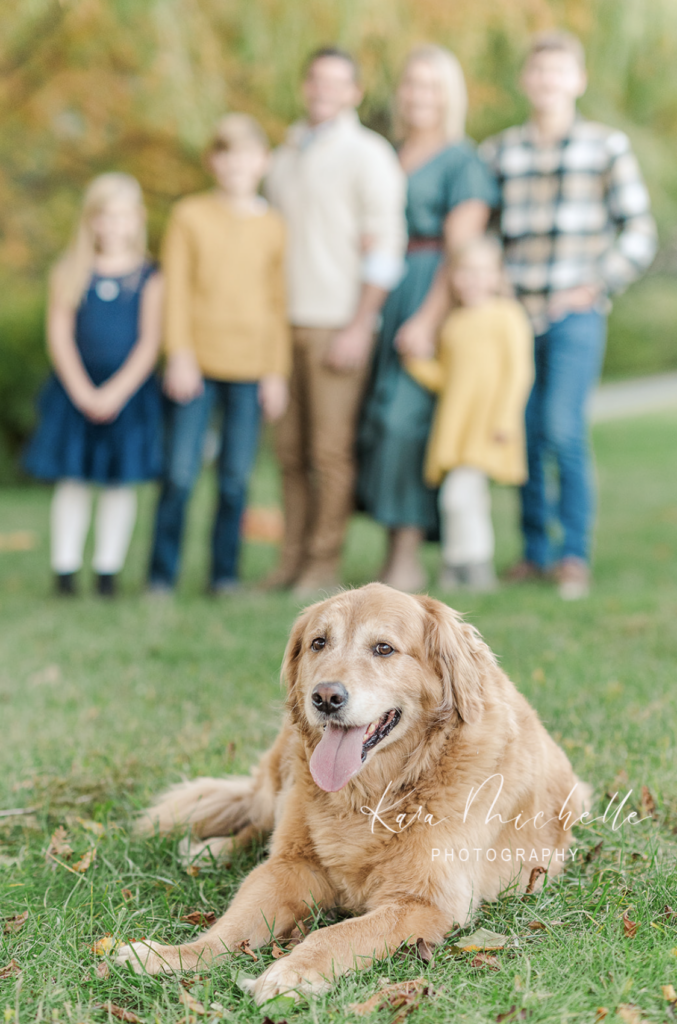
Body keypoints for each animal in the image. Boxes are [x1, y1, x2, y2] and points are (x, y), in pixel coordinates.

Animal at [118, 581, 589, 1003]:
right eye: (318, 643)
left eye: (383, 649)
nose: (325, 697)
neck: (374, 793)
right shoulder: (290, 866)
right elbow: (232, 925)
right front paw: (170, 956)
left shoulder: (426, 902)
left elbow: (336, 934)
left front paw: (290, 973)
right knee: (257, 821)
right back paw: (209, 850)